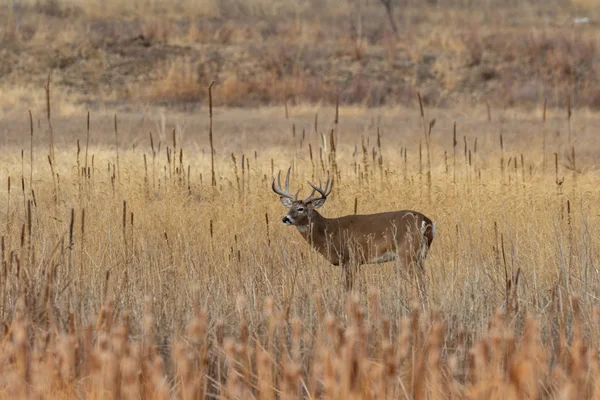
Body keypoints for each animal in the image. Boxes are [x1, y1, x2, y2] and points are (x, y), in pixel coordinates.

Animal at [272, 167, 436, 292]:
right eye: (290, 207)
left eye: (301, 209)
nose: (285, 218)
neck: (329, 231)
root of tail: (426, 221)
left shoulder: (351, 258)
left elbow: (347, 288)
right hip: (421, 254)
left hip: (406, 252)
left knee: (418, 280)